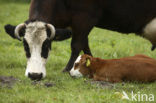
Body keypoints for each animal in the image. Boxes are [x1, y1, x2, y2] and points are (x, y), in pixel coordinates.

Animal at [3, 0, 156, 80]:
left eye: (46, 45)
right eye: (25, 46)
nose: (35, 75)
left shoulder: (84, 18)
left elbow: (76, 45)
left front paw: (67, 69)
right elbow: (85, 45)